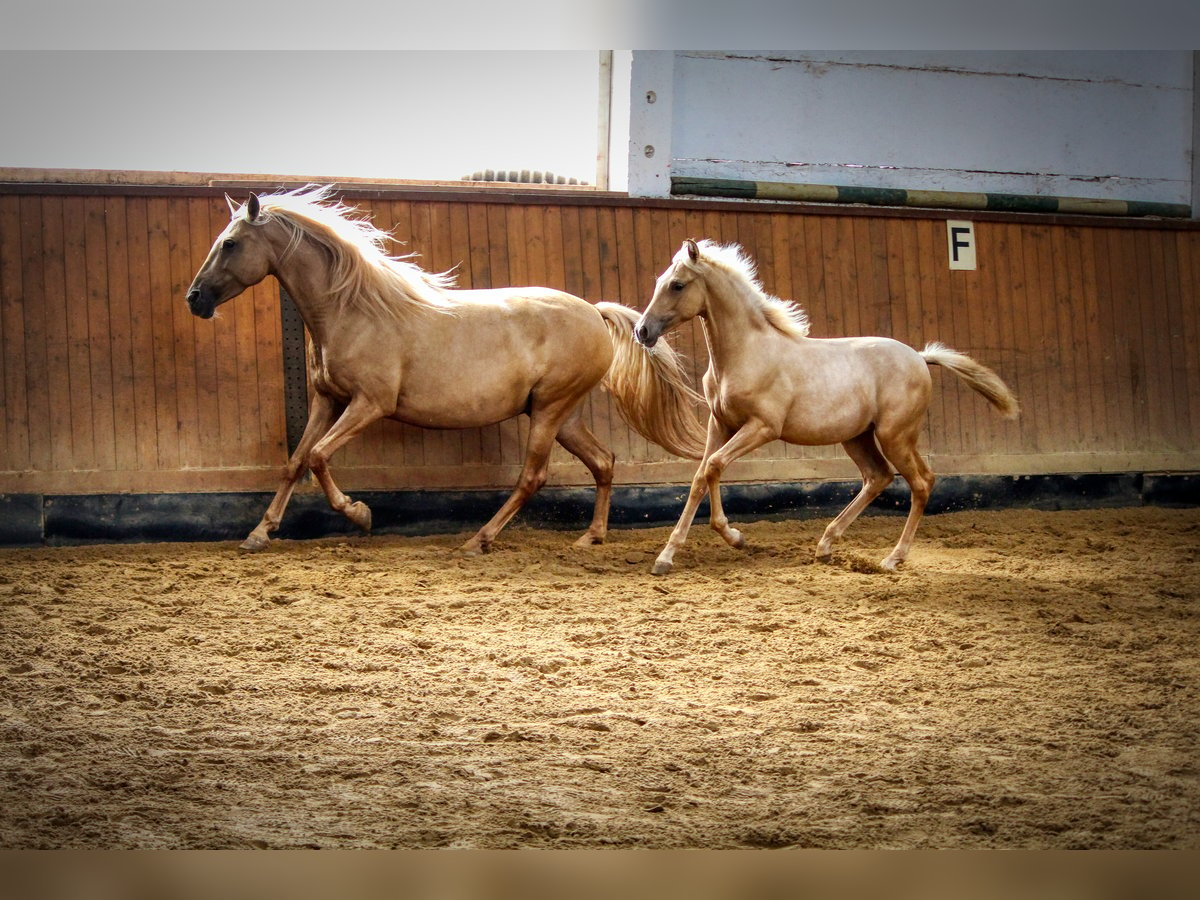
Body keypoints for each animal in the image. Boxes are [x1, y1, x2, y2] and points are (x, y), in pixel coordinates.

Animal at [183, 189, 705, 554]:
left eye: (229, 244)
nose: (195, 299)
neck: (353, 309)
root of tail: (594, 313)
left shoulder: (370, 404)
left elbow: (318, 457)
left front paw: (360, 515)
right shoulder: (327, 400)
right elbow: (295, 461)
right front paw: (259, 533)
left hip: (551, 411)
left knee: (533, 476)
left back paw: (479, 540)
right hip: (563, 414)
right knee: (603, 462)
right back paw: (590, 537)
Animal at [633, 240, 1017, 578]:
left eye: (677, 285)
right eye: (658, 281)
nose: (643, 331)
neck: (747, 352)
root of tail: (921, 358)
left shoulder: (762, 427)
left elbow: (713, 466)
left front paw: (732, 537)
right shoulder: (721, 424)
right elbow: (702, 475)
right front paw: (669, 556)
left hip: (895, 435)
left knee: (922, 482)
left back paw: (892, 558)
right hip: (858, 437)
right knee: (878, 476)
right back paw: (826, 545)